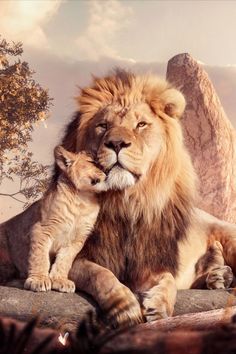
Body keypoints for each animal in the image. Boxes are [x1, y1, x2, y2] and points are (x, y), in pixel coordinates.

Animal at [0, 70, 236, 326]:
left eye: (141, 124)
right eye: (103, 125)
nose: (116, 143)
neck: (126, 203)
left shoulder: (149, 262)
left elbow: (168, 280)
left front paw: (160, 306)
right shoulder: (82, 254)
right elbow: (100, 273)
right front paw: (124, 306)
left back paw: (221, 277)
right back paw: (218, 277)